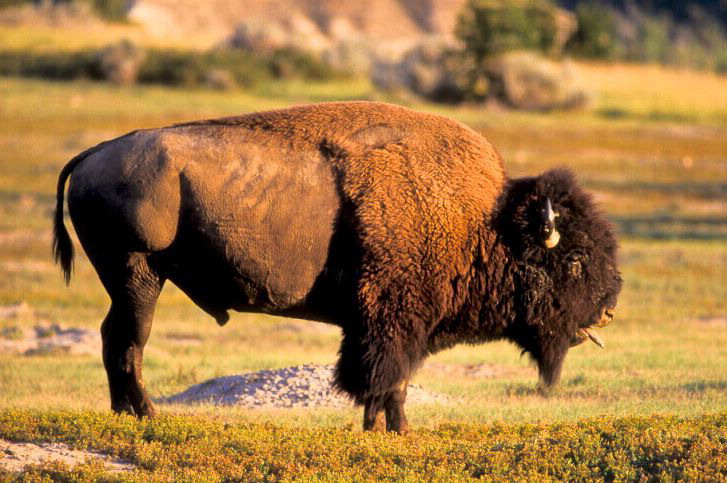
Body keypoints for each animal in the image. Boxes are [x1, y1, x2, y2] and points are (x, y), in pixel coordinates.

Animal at [53, 102, 621, 433]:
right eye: (574, 261)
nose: (609, 309)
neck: (485, 222)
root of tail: (96, 153)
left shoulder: (384, 325)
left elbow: (385, 380)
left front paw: (380, 429)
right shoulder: (392, 321)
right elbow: (389, 377)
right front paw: (397, 430)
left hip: (129, 280)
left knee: (114, 337)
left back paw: (126, 413)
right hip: (138, 274)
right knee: (129, 340)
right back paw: (147, 413)